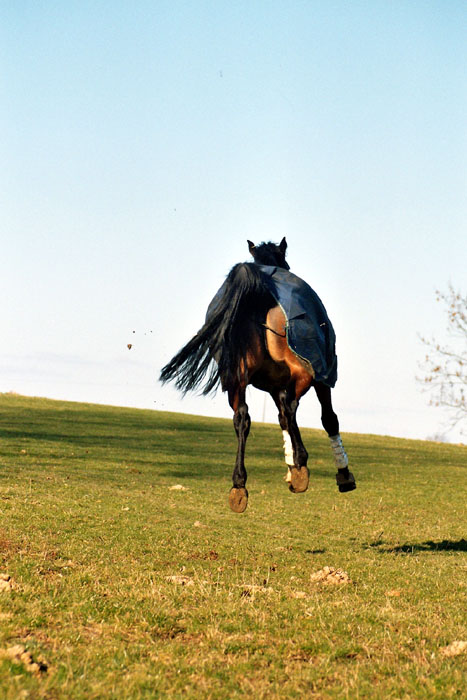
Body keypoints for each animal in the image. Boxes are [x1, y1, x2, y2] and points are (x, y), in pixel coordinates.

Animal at [159, 238, 356, 512]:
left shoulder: (273, 386)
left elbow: (282, 419)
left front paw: (290, 468)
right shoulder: (319, 377)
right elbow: (327, 418)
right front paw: (340, 473)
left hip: (236, 379)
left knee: (242, 418)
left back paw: (239, 486)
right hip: (303, 373)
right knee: (290, 407)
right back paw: (301, 465)